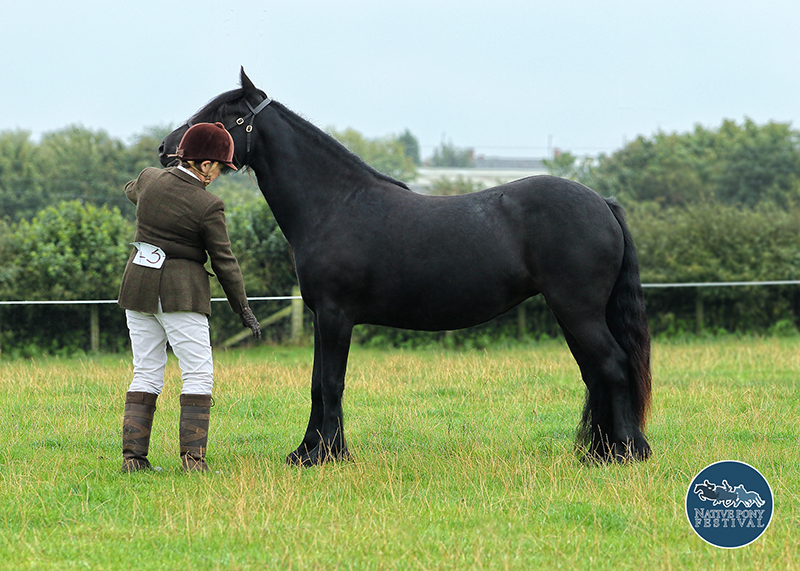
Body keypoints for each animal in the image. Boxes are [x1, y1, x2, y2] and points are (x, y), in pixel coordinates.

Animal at [159, 69, 652, 466]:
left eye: (219, 115)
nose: (166, 149)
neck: (334, 204)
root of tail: (602, 203)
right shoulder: (322, 317)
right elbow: (317, 383)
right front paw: (307, 452)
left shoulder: (337, 316)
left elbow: (331, 383)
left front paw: (327, 455)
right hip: (573, 313)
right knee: (595, 372)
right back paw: (599, 451)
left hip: (577, 310)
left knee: (611, 365)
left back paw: (624, 453)